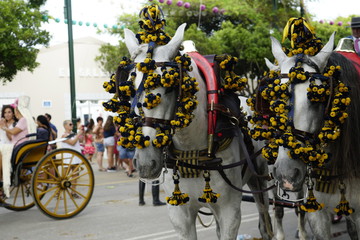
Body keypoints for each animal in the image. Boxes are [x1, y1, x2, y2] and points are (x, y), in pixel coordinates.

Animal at [124, 24, 272, 240]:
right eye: (130, 88)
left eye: (170, 87)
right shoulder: (179, 215)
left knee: (266, 222)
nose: (145, 163)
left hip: (259, 178)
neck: (191, 148)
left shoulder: (230, 211)